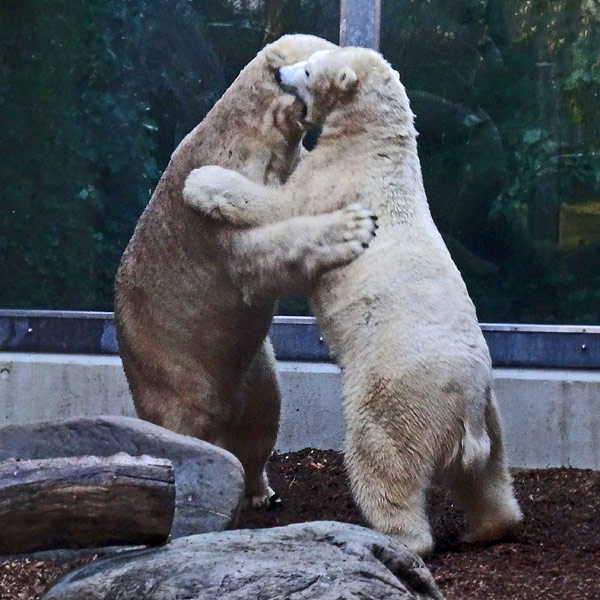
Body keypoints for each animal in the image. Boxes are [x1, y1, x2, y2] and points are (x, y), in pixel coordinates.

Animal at [115, 35, 378, 508]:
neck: (256, 134)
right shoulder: (216, 210)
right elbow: (258, 253)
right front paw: (351, 228)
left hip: (254, 368)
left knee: (261, 415)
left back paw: (261, 490)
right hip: (169, 370)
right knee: (184, 424)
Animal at [185, 45, 524, 552]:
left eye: (308, 67)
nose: (280, 74)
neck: (377, 144)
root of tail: (466, 414)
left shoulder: (338, 180)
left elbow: (281, 205)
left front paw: (203, 181)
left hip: (398, 398)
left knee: (382, 460)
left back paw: (399, 537)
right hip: (492, 415)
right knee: (488, 477)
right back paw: (487, 527)